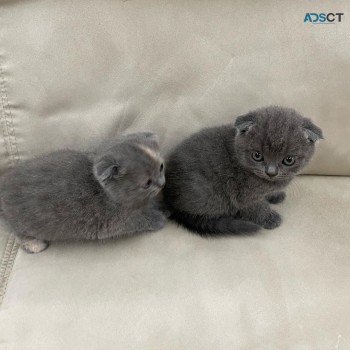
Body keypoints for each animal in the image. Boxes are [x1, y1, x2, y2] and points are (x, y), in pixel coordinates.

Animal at [0, 131, 167, 252]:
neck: (108, 194)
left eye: (161, 167)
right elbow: (141, 220)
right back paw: (34, 244)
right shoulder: (115, 222)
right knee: (18, 231)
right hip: (21, 222)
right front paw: (160, 217)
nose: (162, 183)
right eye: (147, 183)